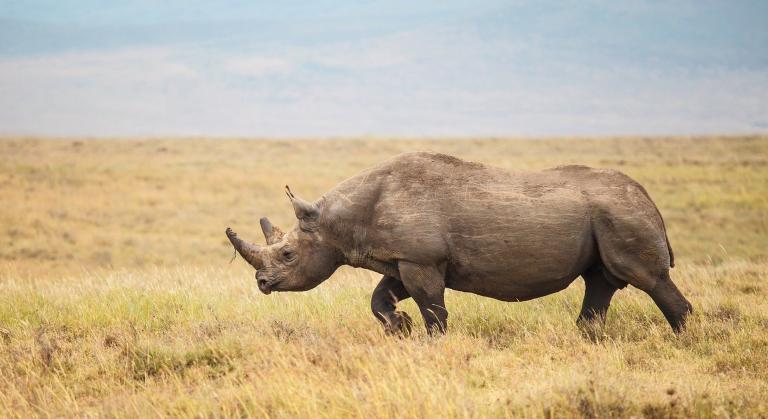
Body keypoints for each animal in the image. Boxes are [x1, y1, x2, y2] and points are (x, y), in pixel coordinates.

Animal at [226, 152, 693, 335]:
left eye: (288, 254)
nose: (262, 284)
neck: (337, 221)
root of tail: (647, 197)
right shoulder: (404, 258)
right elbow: (381, 298)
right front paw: (399, 326)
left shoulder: (421, 258)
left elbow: (433, 308)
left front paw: (431, 339)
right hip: (607, 215)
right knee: (599, 281)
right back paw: (588, 338)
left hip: (621, 214)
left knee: (648, 279)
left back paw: (683, 339)